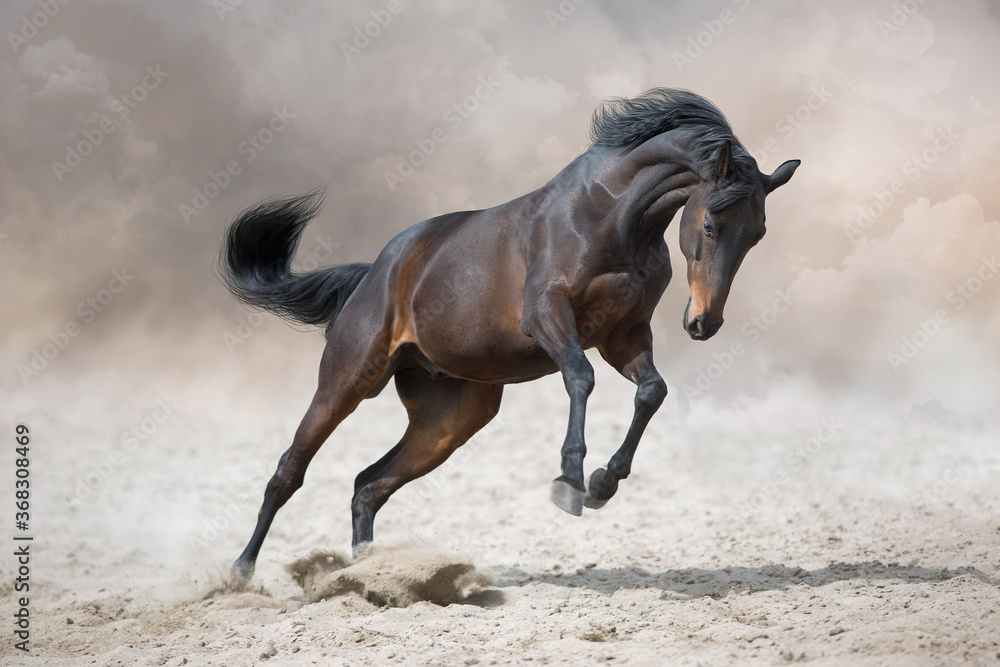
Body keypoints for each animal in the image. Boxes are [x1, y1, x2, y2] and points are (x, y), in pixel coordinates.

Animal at [220, 88, 800, 582]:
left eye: (758, 234)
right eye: (711, 224)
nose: (705, 323)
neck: (611, 215)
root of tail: (376, 273)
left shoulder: (623, 335)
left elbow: (651, 391)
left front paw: (603, 483)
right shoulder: (548, 316)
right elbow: (581, 378)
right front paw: (569, 482)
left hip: (449, 420)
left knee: (368, 486)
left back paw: (369, 577)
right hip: (348, 380)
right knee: (288, 471)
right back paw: (239, 574)